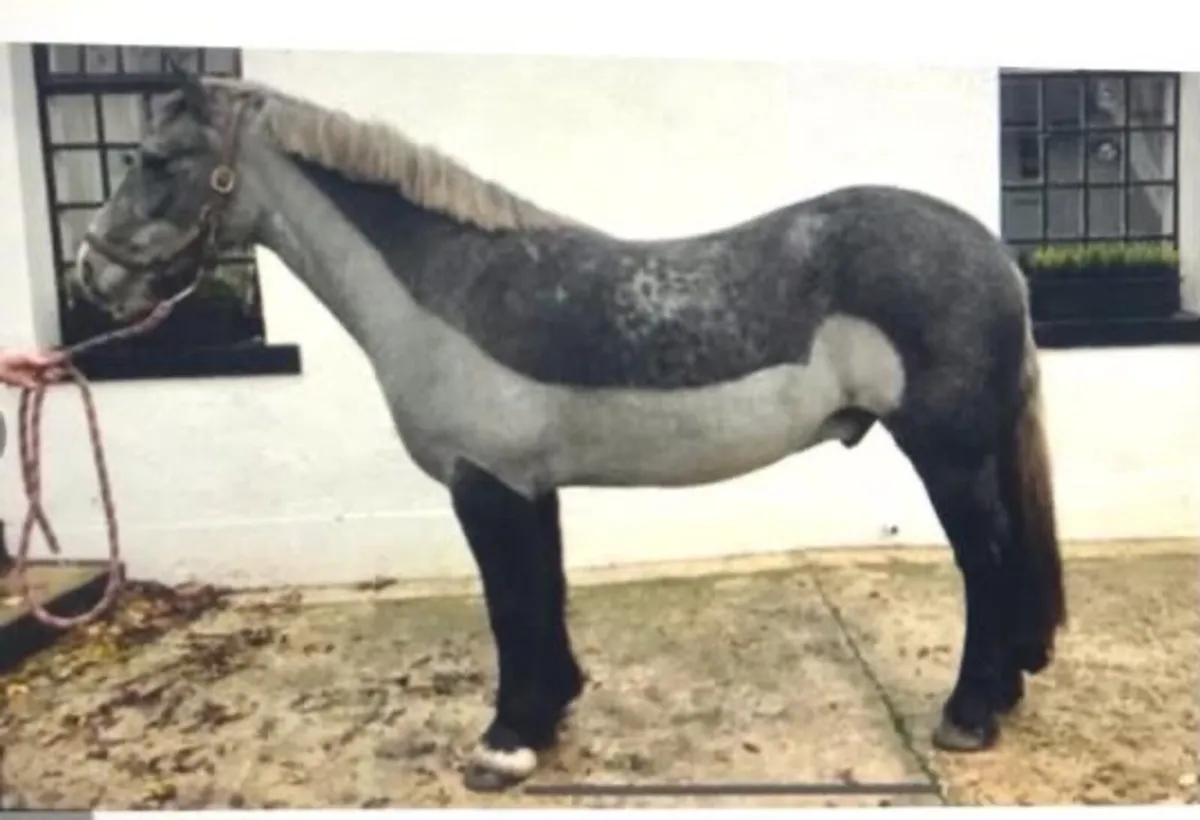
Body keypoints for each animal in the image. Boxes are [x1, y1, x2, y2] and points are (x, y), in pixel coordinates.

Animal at [73, 72, 1066, 793]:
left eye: (155, 159)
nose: (91, 275)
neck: (443, 289)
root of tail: (992, 253)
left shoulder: (485, 484)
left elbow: (511, 606)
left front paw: (505, 742)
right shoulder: (528, 483)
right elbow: (542, 595)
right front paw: (549, 714)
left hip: (946, 452)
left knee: (984, 561)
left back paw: (970, 714)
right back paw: (1006, 691)